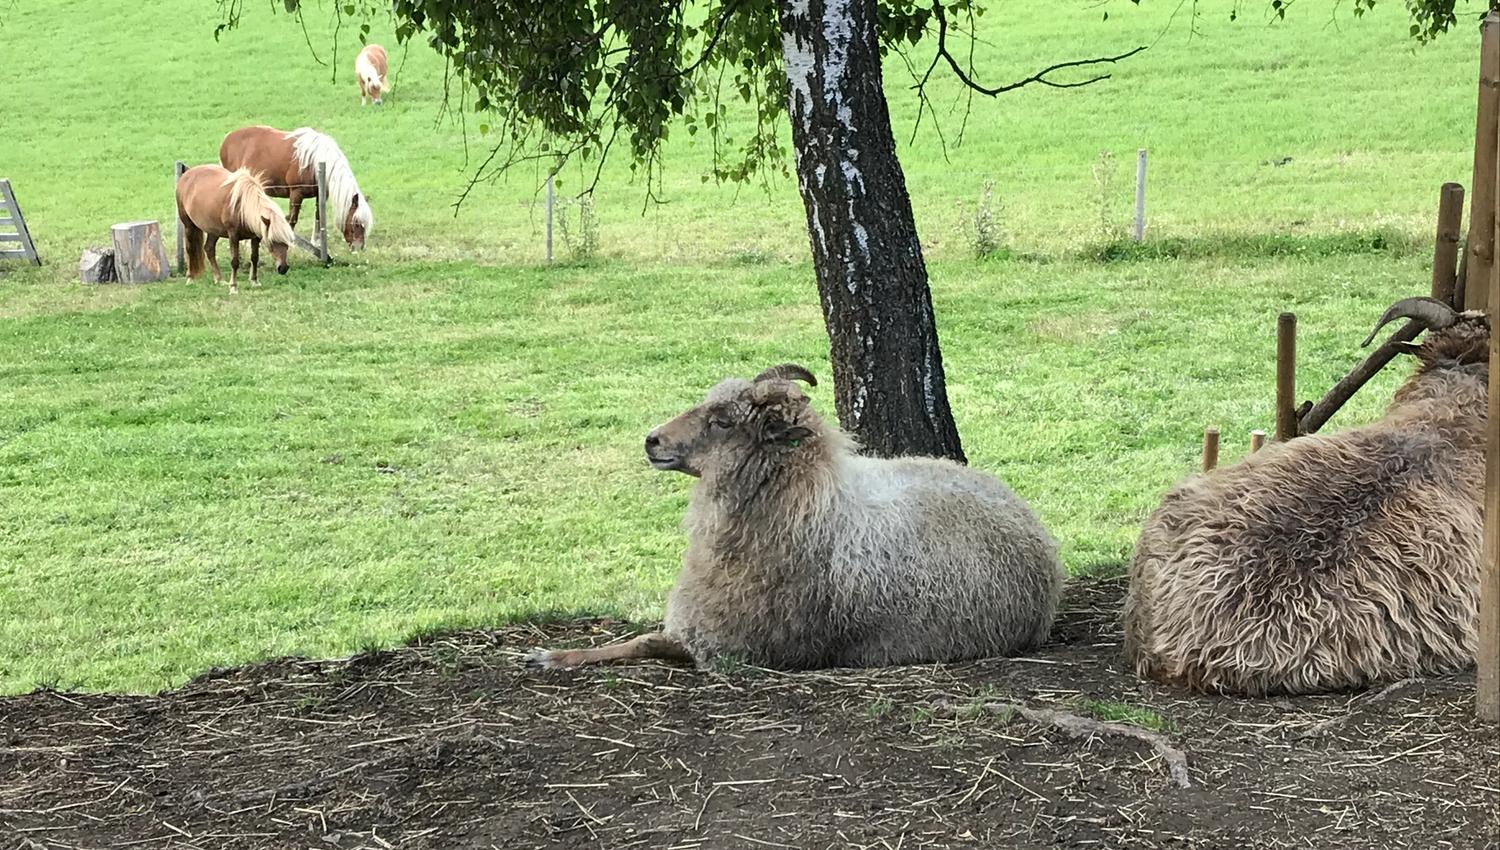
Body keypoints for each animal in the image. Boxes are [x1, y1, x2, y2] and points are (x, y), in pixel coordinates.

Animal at [176, 166, 296, 294]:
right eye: (272, 241)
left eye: (287, 242)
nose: (283, 268)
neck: (242, 208)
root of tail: (186, 175)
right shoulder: (233, 235)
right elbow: (234, 262)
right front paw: (233, 287)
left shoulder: (255, 237)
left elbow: (254, 258)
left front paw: (254, 281)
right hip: (188, 225)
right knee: (190, 250)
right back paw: (190, 278)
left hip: (214, 230)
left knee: (209, 249)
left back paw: (219, 279)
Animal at [219, 126, 374, 251]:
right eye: (356, 223)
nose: (358, 248)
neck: (315, 161)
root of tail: (227, 139)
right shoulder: (296, 193)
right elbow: (292, 219)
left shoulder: (320, 194)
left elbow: (318, 216)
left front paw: (316, 242)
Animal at [527, 363, 1064, 670]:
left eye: (723, 421)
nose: (651, 440)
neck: (800, 503)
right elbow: (636, 639)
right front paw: (558, 653)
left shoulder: (737, 646)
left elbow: (641, 643)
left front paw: (550, 656)